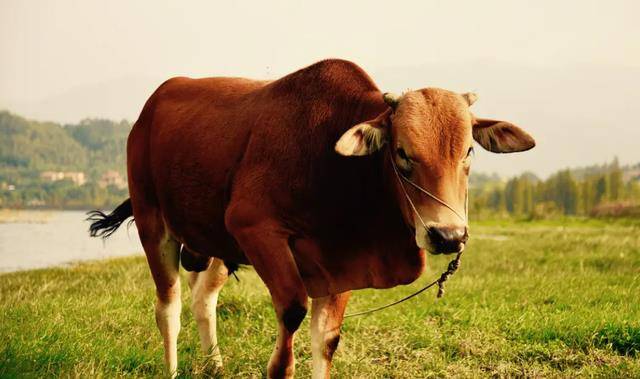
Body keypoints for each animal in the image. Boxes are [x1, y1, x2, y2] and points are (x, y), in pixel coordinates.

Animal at [87, 58, 532, 378]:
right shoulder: (255, 230)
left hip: (214, 245)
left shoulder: (341, 263)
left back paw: (214, 365)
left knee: (203, 300)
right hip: (154, 223)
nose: (448, 235)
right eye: (402, 153)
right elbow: (290, 325)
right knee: (169, 308)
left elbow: (326, 340)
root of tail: (150, 108)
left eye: (468, 152)